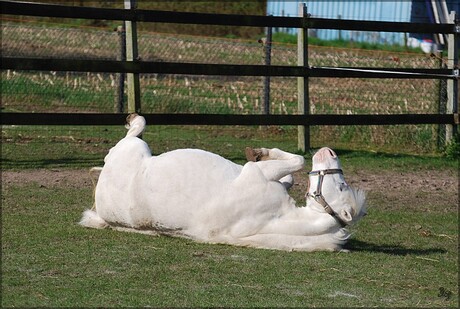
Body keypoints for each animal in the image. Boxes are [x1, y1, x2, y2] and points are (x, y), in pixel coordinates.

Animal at [80, 113, 366, 250]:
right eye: (343, 185)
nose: (329, 151)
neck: (276, 218)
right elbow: (291, 170)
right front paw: (262, 153)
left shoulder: (256, 174)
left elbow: (296, 161)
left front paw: (261, 152)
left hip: (134, 149)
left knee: (133, 132)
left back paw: (133, 118)